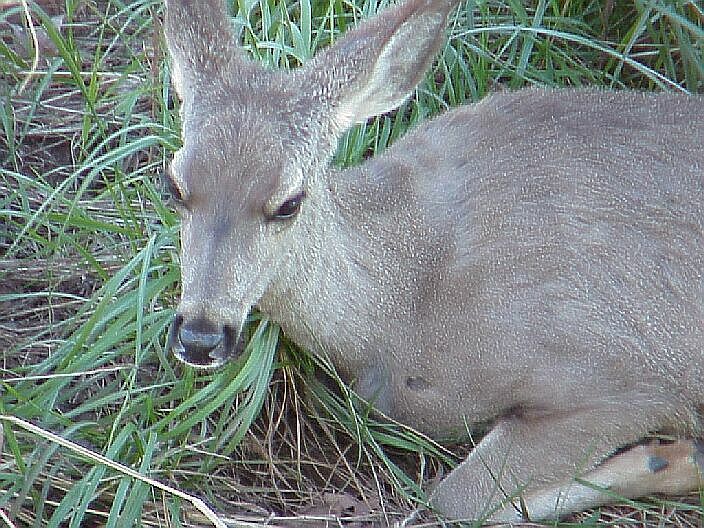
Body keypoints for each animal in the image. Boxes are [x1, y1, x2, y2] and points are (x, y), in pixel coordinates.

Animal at [161, 0, 704, 520]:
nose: (201, 336)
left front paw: (676, 459)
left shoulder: (620, 376)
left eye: (289, 202)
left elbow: (457, 498)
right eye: (174, 185)